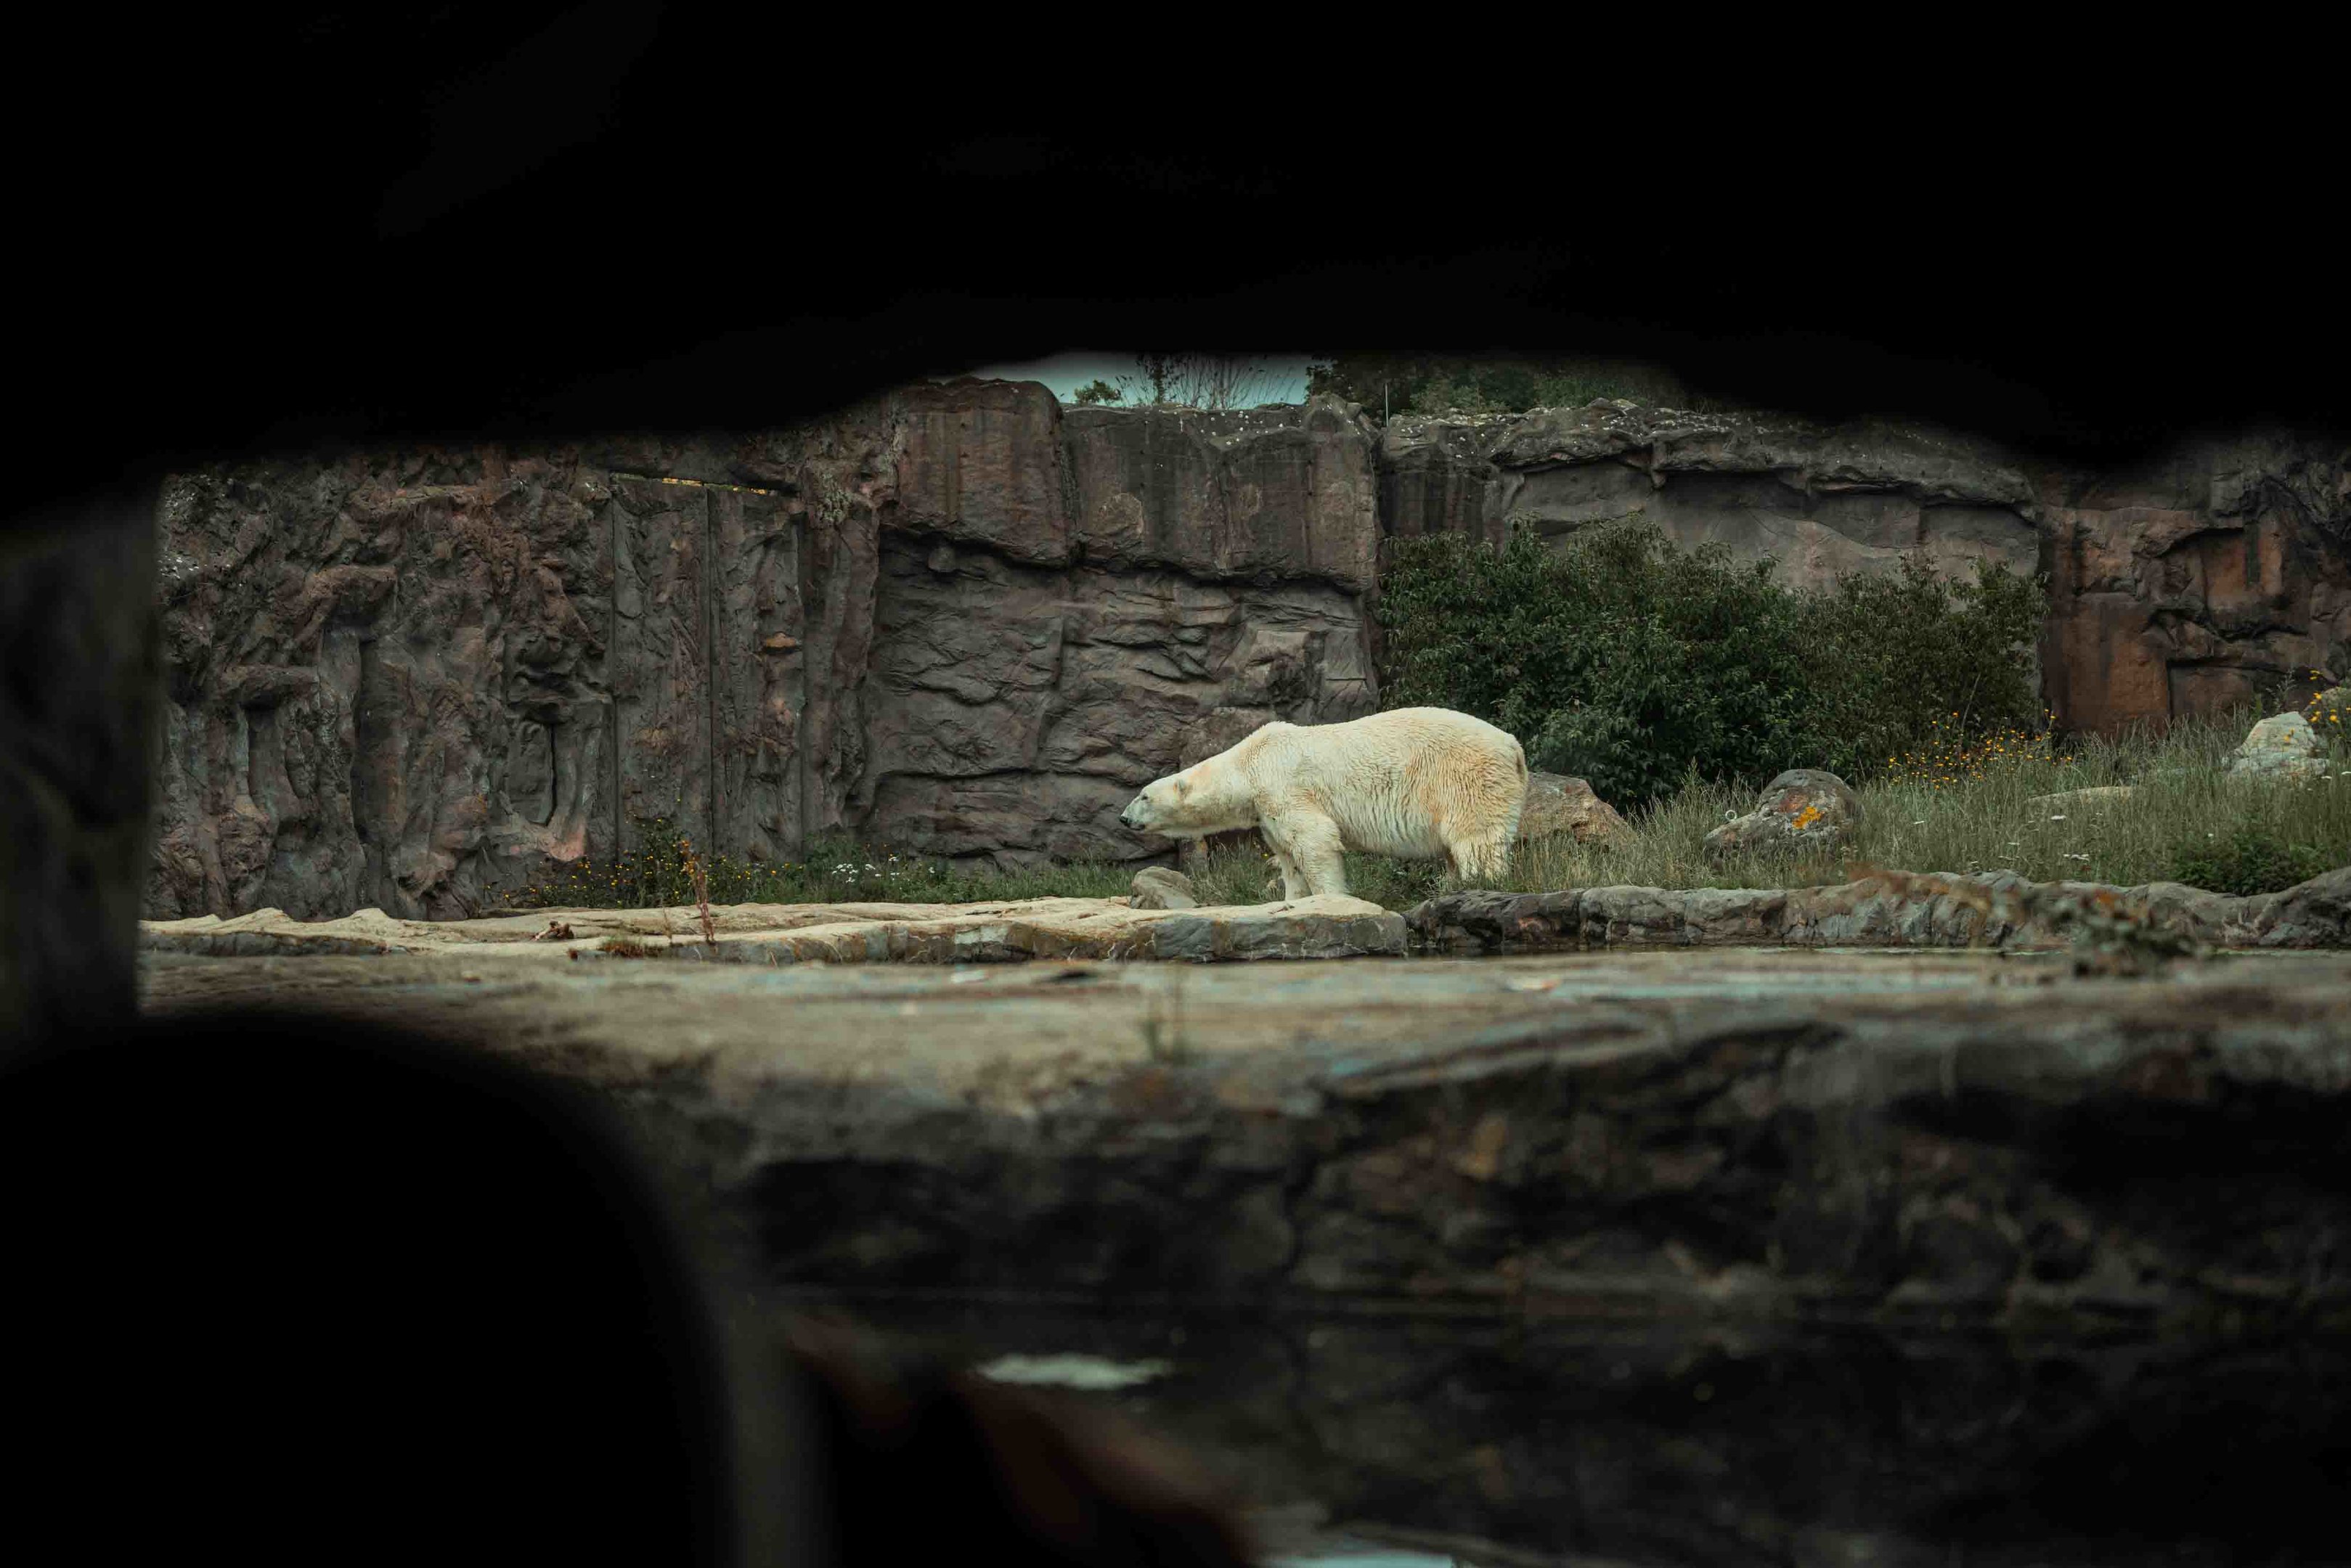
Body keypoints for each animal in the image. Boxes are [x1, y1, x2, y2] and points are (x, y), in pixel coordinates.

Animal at [1119, 707, 1529, 901]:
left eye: (1144, 795)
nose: (1123, 818)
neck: (1249, 764)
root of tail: (1513, 746)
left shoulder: (1283, 787)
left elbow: (1314, 841)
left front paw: (1333, 899)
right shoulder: (1266, 811)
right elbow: (1287, 855)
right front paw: (1292, 899)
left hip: (1465, 780)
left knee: (1476, 840)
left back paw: (1480, 885)